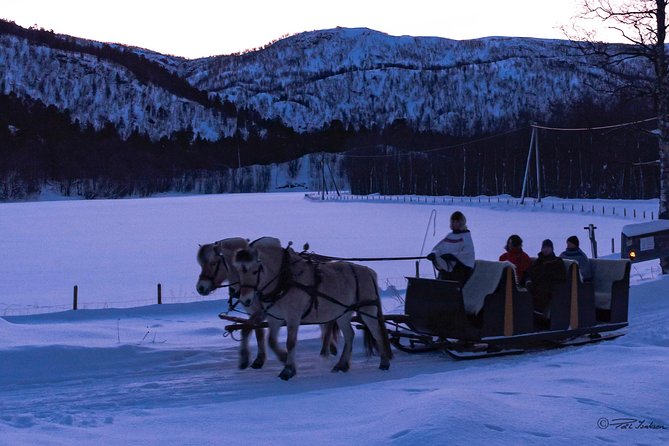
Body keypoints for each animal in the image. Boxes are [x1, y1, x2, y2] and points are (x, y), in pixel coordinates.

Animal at [234, 240, 392, 380]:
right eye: (238, 271)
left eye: (255, 271)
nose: (245, 299)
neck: (284, 279)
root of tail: (369, 271)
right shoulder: (275, 318)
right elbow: (271, 341)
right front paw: (283, 357)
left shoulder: (293, 316)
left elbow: (290, 342)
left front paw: (288, 370)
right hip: (344, 313)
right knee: (350, 335)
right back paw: (341, 365)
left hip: (368, 309)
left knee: (377, 333)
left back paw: (384, 362)